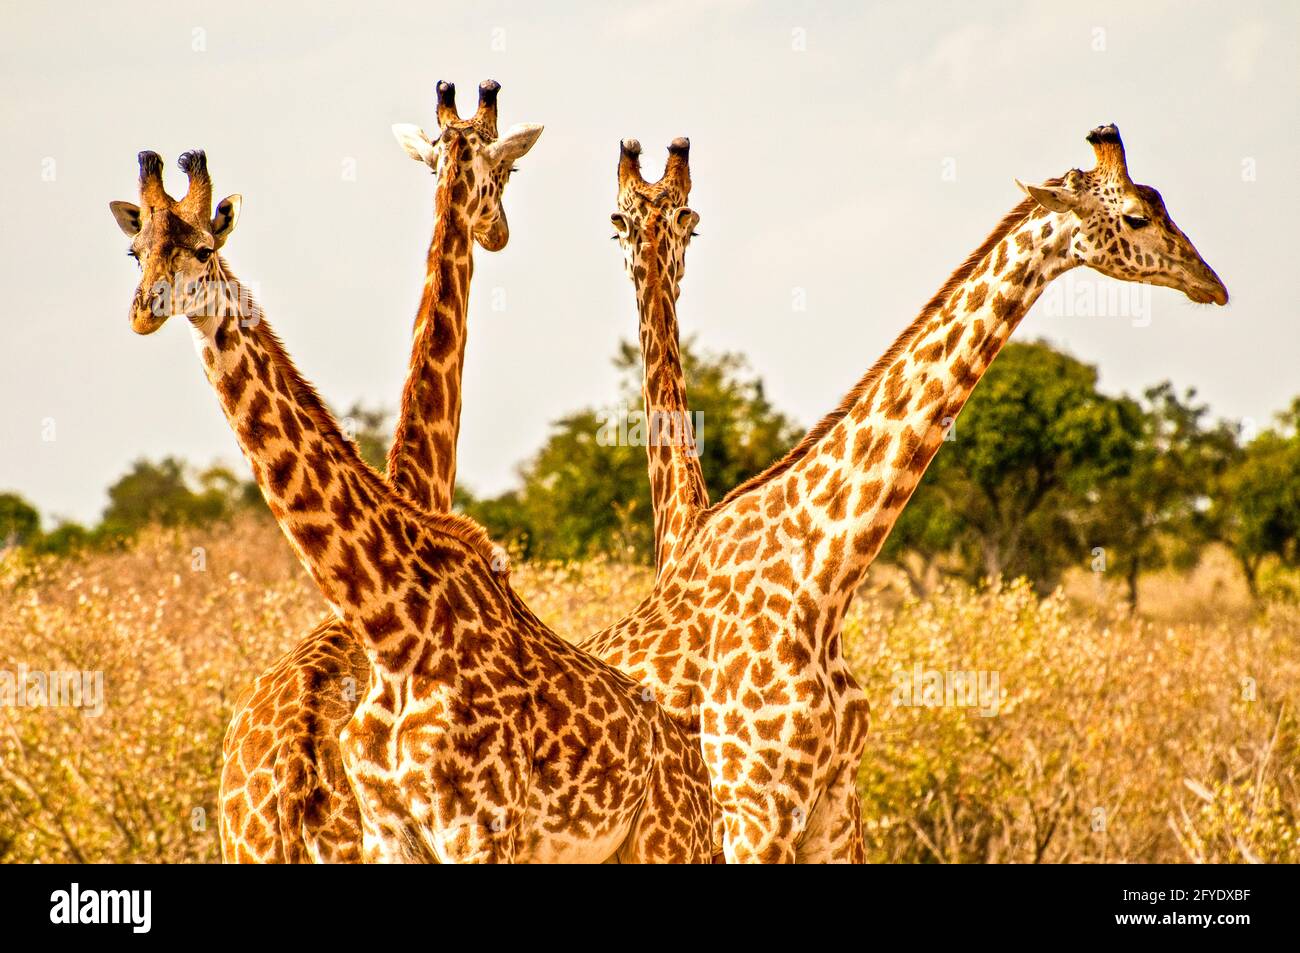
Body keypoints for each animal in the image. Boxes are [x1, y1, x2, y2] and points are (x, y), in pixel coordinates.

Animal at [579, 122, 1227, 858]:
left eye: (688, 222)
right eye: (1137, 216)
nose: (1211, 282)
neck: (822, 579)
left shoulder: (835, 801)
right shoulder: (753, 808)